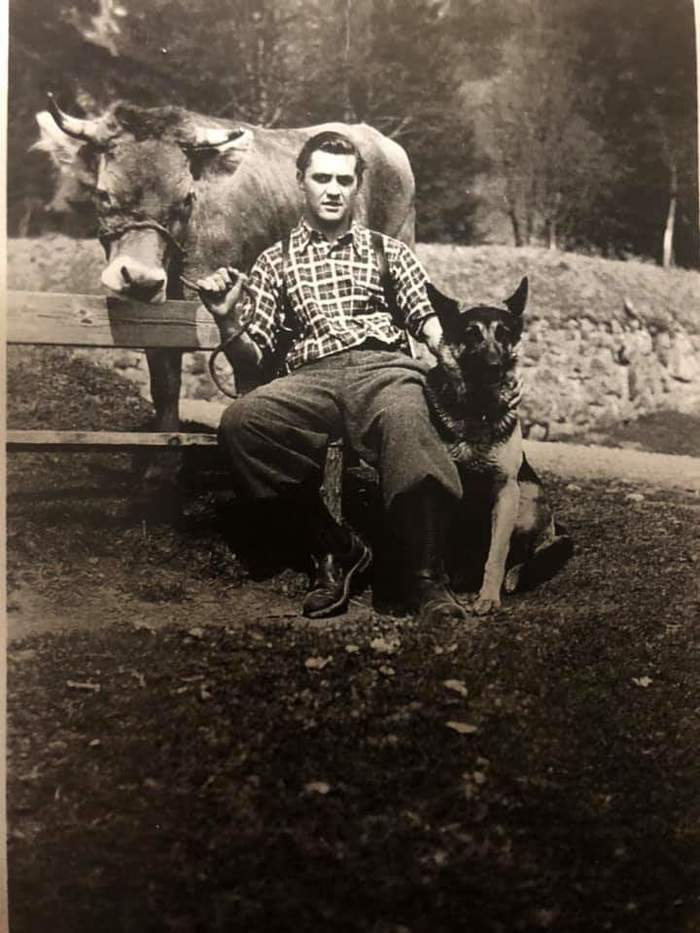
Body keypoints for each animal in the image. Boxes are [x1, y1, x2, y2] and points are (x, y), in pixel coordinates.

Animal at [35, 95, 416, 492]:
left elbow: (246, 381)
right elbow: (165, 386)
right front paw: (162, 468)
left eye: (186, 199)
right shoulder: (158, 320)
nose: (139, 278)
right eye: (103, 194)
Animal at [424, 274, 572, 612]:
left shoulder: (506, 491)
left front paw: (488, 596)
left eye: (503, 333)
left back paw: (514, 575)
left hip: (528, 496)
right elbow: (443, 547)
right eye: (471, 334)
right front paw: (444, 586)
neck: (478, 409)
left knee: (530, 551)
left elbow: (497, 554)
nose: (494, 365)